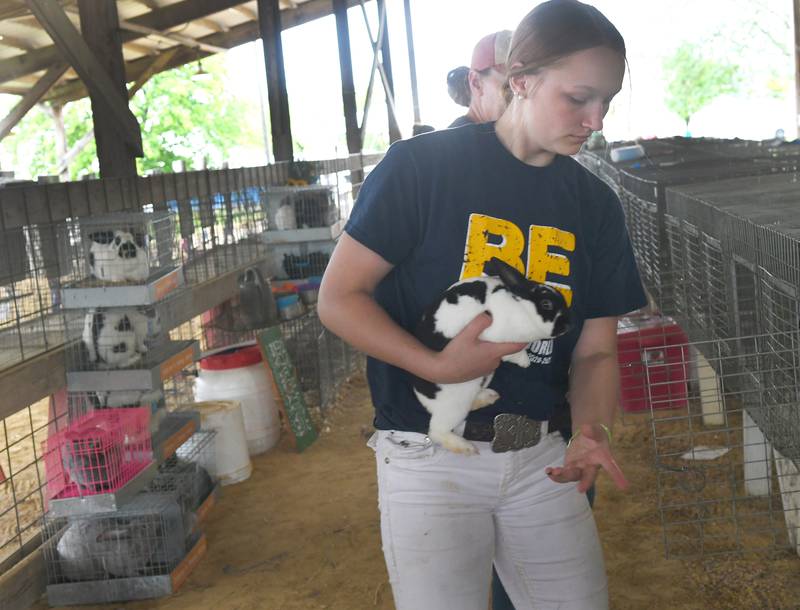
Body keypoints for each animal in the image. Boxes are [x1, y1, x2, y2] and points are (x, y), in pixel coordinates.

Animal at [412, 256, 568, 452]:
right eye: (546, 304)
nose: (568, 325)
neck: (521, 307)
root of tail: (425, 400)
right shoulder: (497, 340)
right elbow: (513, 353)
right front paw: (525, 362)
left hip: (483, 379)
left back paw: (489, 397)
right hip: (455, 403)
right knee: (436, 431)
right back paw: (466, 448)